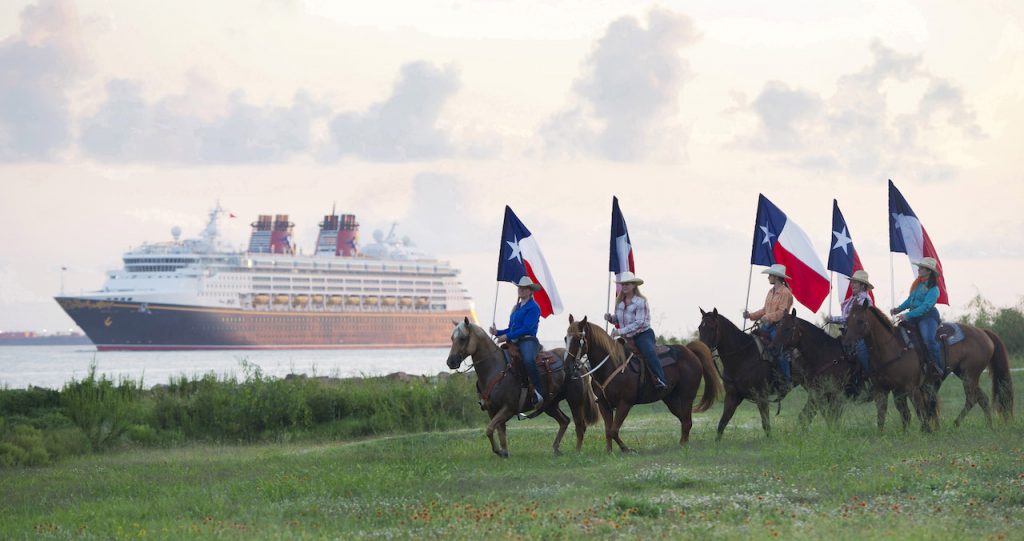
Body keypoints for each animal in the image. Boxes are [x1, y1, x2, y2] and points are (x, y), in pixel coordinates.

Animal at [442, 315, 598, 459]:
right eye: (451, 338)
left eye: (463, 338)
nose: (451, 362)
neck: (495, 369)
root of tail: (578, 363)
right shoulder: (492, 410)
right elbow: (499, 431)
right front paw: (504, 452)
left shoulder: (508, 408)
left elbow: (490, 429)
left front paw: (499, 451)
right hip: (550, 404)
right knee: (564, 421)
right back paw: (555, 449)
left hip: (575, 401)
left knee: (579, 425)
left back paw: (577, 451)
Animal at [561, 315, 720, 454]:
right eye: (565, 338)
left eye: (578, 339)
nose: (567, 367)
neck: (611, 365)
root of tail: (690, 351)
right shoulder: (603, 404)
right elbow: (608, 431)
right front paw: (609, 452)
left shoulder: (625, 403)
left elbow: (613, 430)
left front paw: (627, 450)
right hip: (671, 399)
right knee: (684, 420)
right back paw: (682, 444)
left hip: (686, 396)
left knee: (687, 421)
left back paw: (683, 447)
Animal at [696, 309, 790, 438]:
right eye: (700, 327)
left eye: (712, 327)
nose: (700, 351)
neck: (744, 355)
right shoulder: (732, 395)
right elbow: (722, 424)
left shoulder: (762, 396)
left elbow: (766, 424)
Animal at [839, 301, 937, 432]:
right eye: (847, 320)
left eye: (860, 321)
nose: (847, 346)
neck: (893, 350)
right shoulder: (882, 389)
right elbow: (882, 415)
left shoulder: (911, 388)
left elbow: (920, 411)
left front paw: (928, 432)